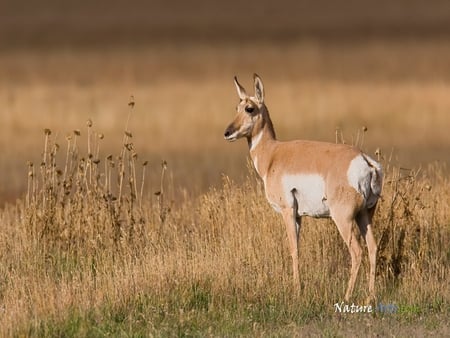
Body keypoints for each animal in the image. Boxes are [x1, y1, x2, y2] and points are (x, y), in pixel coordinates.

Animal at [225, 74, 384, 302]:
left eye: (249, 108)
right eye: (236, 107)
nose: (227, 132)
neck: (272, 154)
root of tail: (364, 160)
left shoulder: (287, 211)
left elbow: (293, 249)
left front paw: (296, 291)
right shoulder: (299, 216)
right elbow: (298, 248)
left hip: (343, 219)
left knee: (357, 251)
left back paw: (346, 297)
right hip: (365, 215)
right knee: (372, 247)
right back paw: (370, 297)